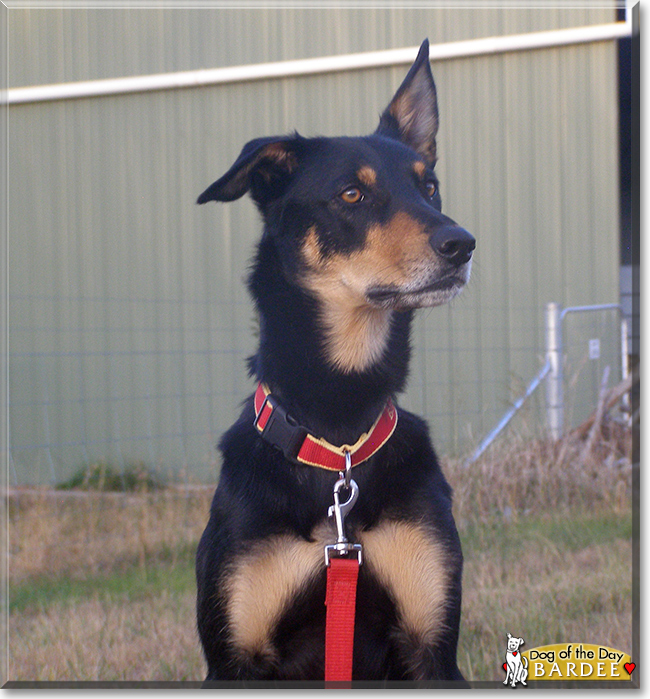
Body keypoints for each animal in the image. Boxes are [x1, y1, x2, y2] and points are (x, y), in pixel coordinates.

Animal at [195, 39, 474, 684]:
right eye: (352, 194)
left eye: (430, 187)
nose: (461, 245)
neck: (338, 432)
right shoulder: (236, 656)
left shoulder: (431, 644)